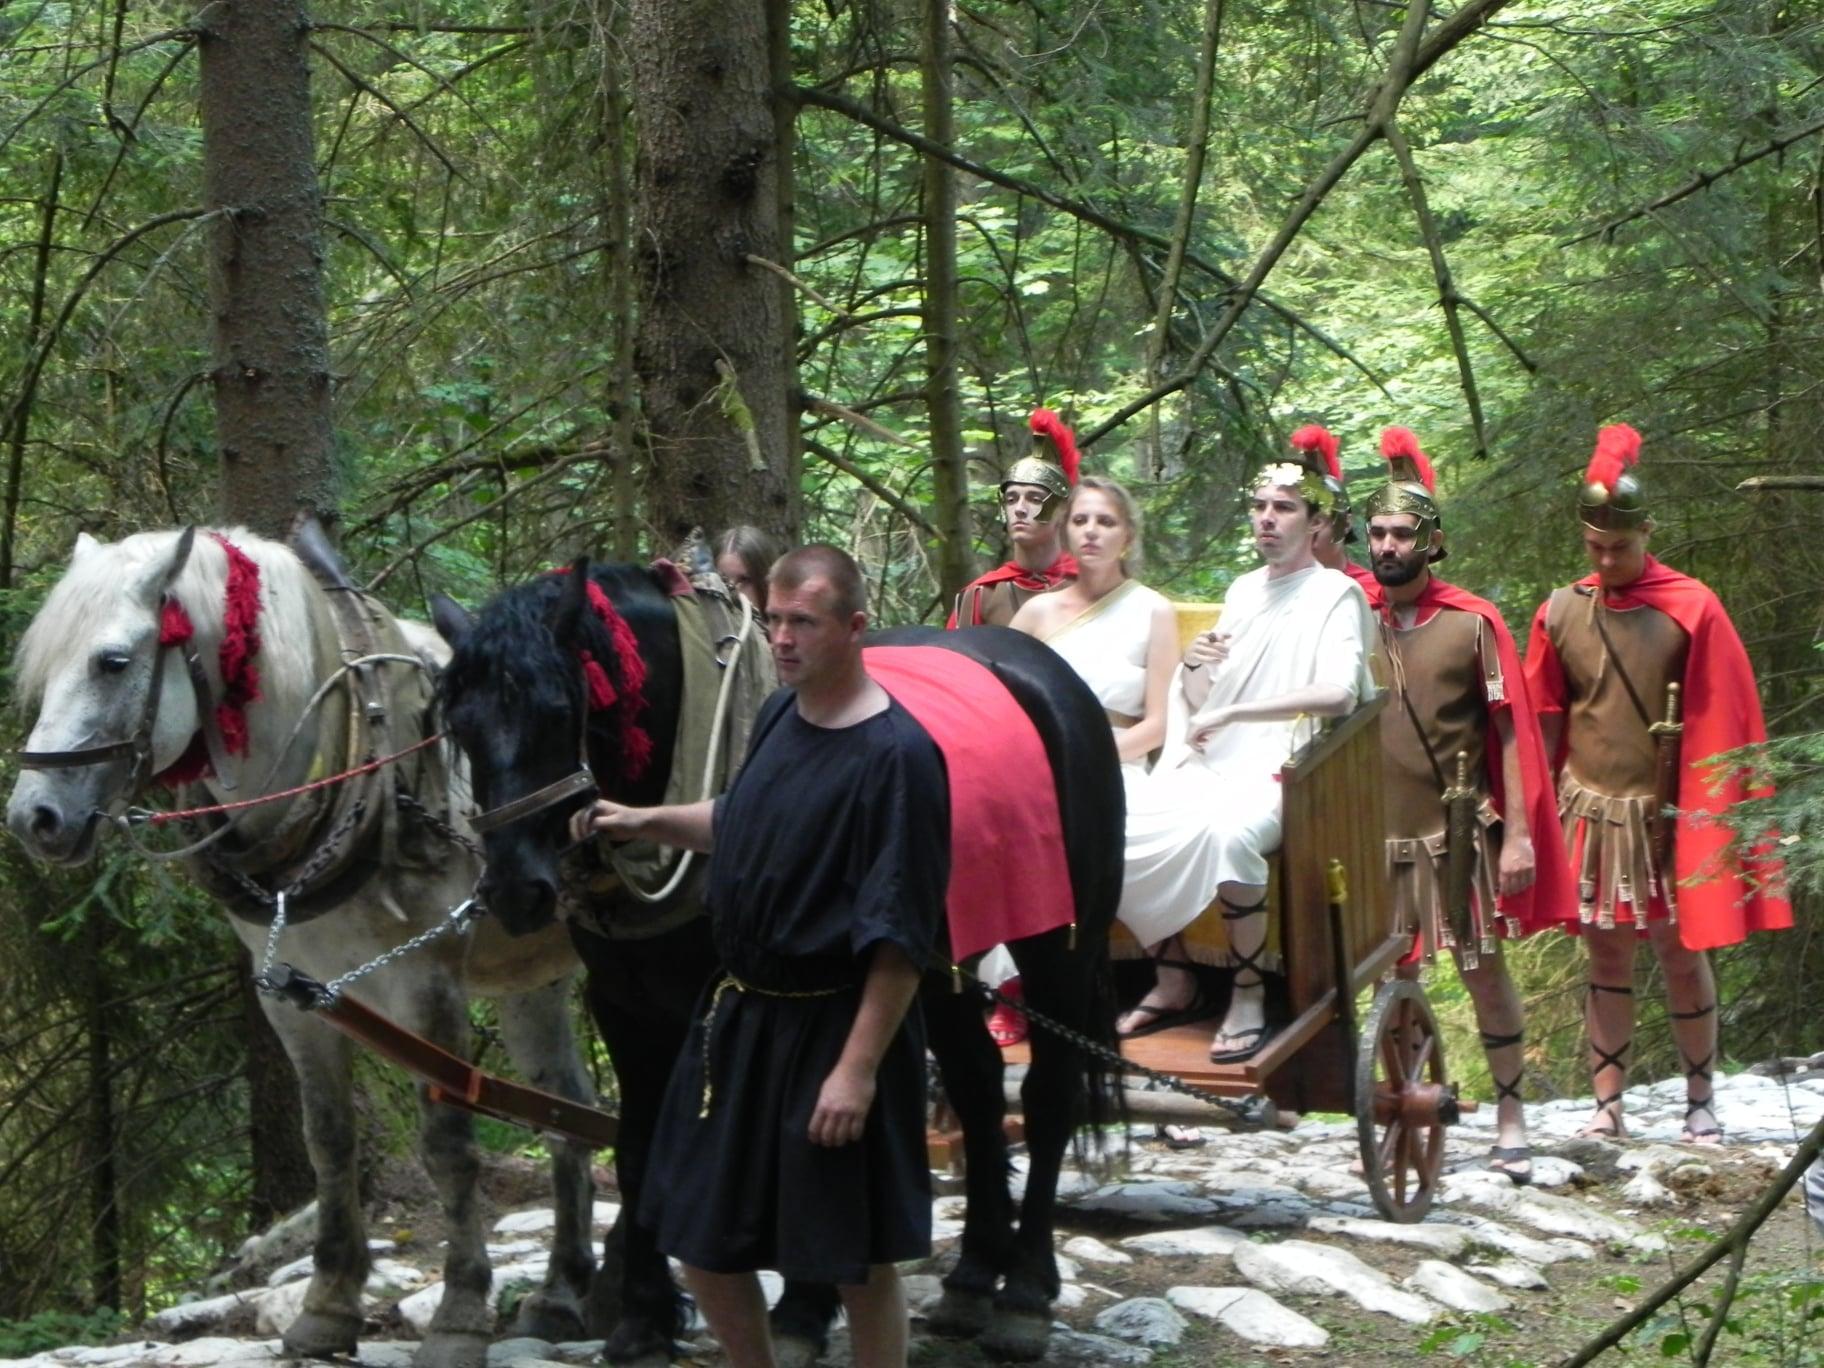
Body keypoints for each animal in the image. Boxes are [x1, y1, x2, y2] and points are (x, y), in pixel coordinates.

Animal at [10, 528, 601, 1368]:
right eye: (43, 665)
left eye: (113, 661)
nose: (35, 818)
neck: (347, 770)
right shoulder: (295, 994)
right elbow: (328, 1141)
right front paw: (328, 1307)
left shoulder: (427, 983)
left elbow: (448, 1143)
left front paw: (459, 1313)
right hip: (530, 981)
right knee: (570, 1110)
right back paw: (562, 1292)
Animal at [434, 561, 1123, 1364]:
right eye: (461, 726)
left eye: (556, 708)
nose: (515, 890)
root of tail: (1046, 675)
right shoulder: (622, 1002)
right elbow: (639, 1147)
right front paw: (643, 1318)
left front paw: (800, 1308)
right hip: (946, 958)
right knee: (979, 1084)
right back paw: (974, 1276)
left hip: (1063, 948)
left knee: (1048, 1098)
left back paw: (1026, 1292)